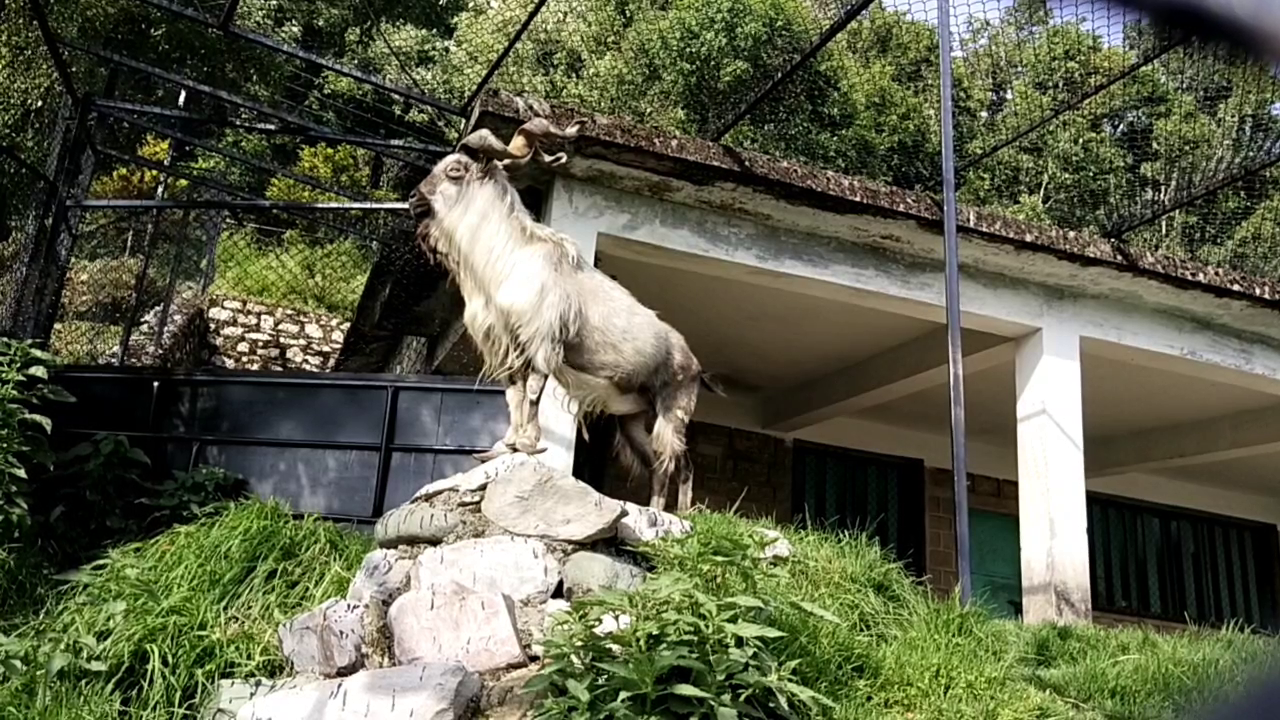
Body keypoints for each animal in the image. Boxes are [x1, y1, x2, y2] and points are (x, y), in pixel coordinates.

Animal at [407, 116, 721, 509]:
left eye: (454, 170)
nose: (412, 199)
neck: (510, 258)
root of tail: (695, 366)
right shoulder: (511, 348)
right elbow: (513, 395)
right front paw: (505, 445)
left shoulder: (543, 343)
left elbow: (532, 394)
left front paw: (528, 443)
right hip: (633, 419)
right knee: (659, 466)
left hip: (672, 411)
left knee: (678, 463)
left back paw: (676, 514)